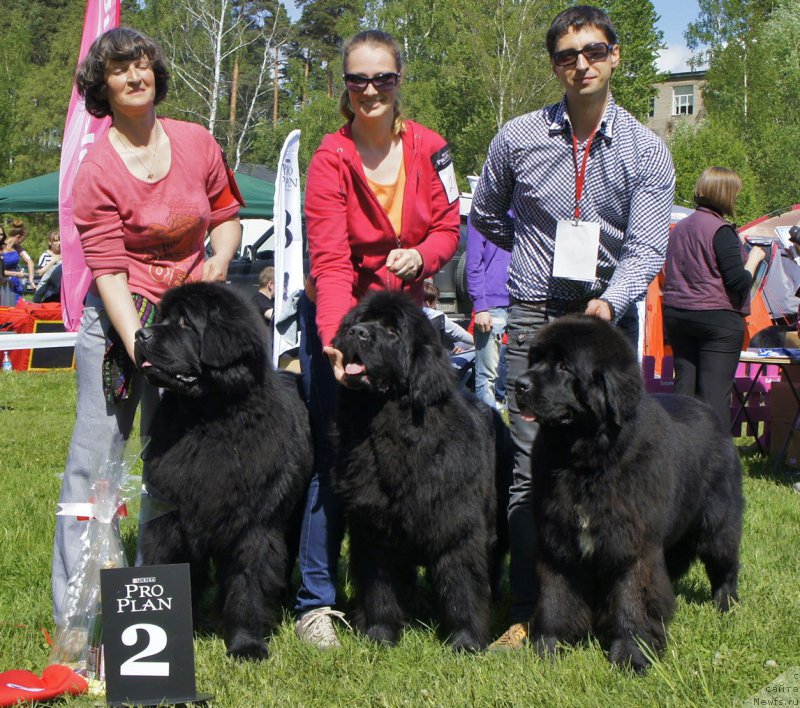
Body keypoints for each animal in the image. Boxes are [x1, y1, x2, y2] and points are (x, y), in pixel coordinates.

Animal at [134, 280, 312, 660]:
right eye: (163, 318)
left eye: (185, 323)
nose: (140, 334)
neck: (206, 421)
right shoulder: (171, 518)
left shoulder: (255, 527)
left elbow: (247, 584)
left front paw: (246, 645)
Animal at [332, 290, 510, 648]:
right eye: (360, 321)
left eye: (392, 331)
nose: (358, 332)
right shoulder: (372, 527)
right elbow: (379, 588)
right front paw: (380, 635)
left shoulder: (457, 523)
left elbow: (462, 585)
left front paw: (465, 641)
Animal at [512, 314, 744, 668]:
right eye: (535, 360)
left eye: (564, 366)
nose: (519, 384)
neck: (587, 462)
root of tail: (708, 410)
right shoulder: (559, 539)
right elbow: (556, 595)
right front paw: (547, 646)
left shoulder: (631, 541)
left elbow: (632, 597)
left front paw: (633, 653)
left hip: (717, 521)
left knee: (724, 563)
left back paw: (726, 605)